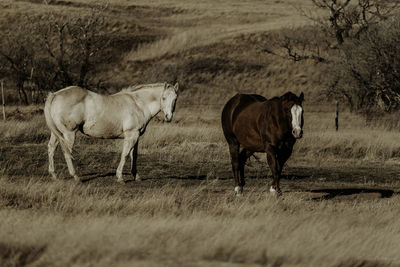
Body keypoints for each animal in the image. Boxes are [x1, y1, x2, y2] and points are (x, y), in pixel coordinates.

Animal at [43, 82, 178, 183]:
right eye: (164, 98)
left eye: (175, 99)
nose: (168, 117)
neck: (138, 104)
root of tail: (55, 95)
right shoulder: (131, 135)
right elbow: (125, 155)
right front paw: (120, 177)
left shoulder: (136, 136)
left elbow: (134, 155)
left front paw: (136, 176)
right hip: (69, 133)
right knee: (67, 152)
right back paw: (76, 177)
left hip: (56, 133)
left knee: (51, 148)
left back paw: (54, 175)